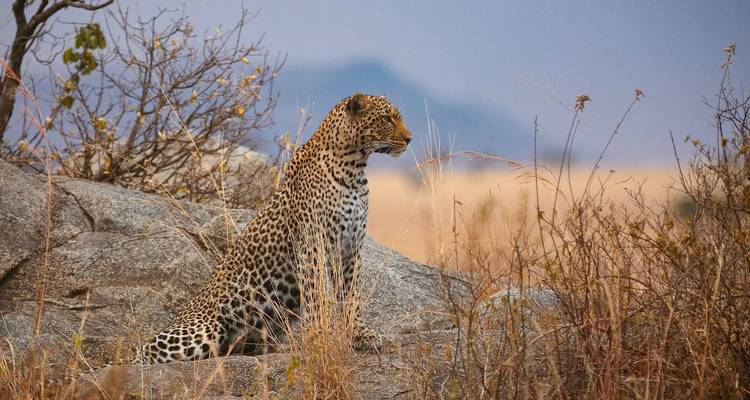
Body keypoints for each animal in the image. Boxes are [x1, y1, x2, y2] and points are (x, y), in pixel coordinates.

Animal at [133, 92, 412, 363]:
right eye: (387, 118)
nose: (409, 139)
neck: (354, 168)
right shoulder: (312, 246)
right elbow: (317, 298)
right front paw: (319, 337)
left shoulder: (351, 248)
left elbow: (351, 296)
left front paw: (359, 334)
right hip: (200, 332)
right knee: (145, 352)